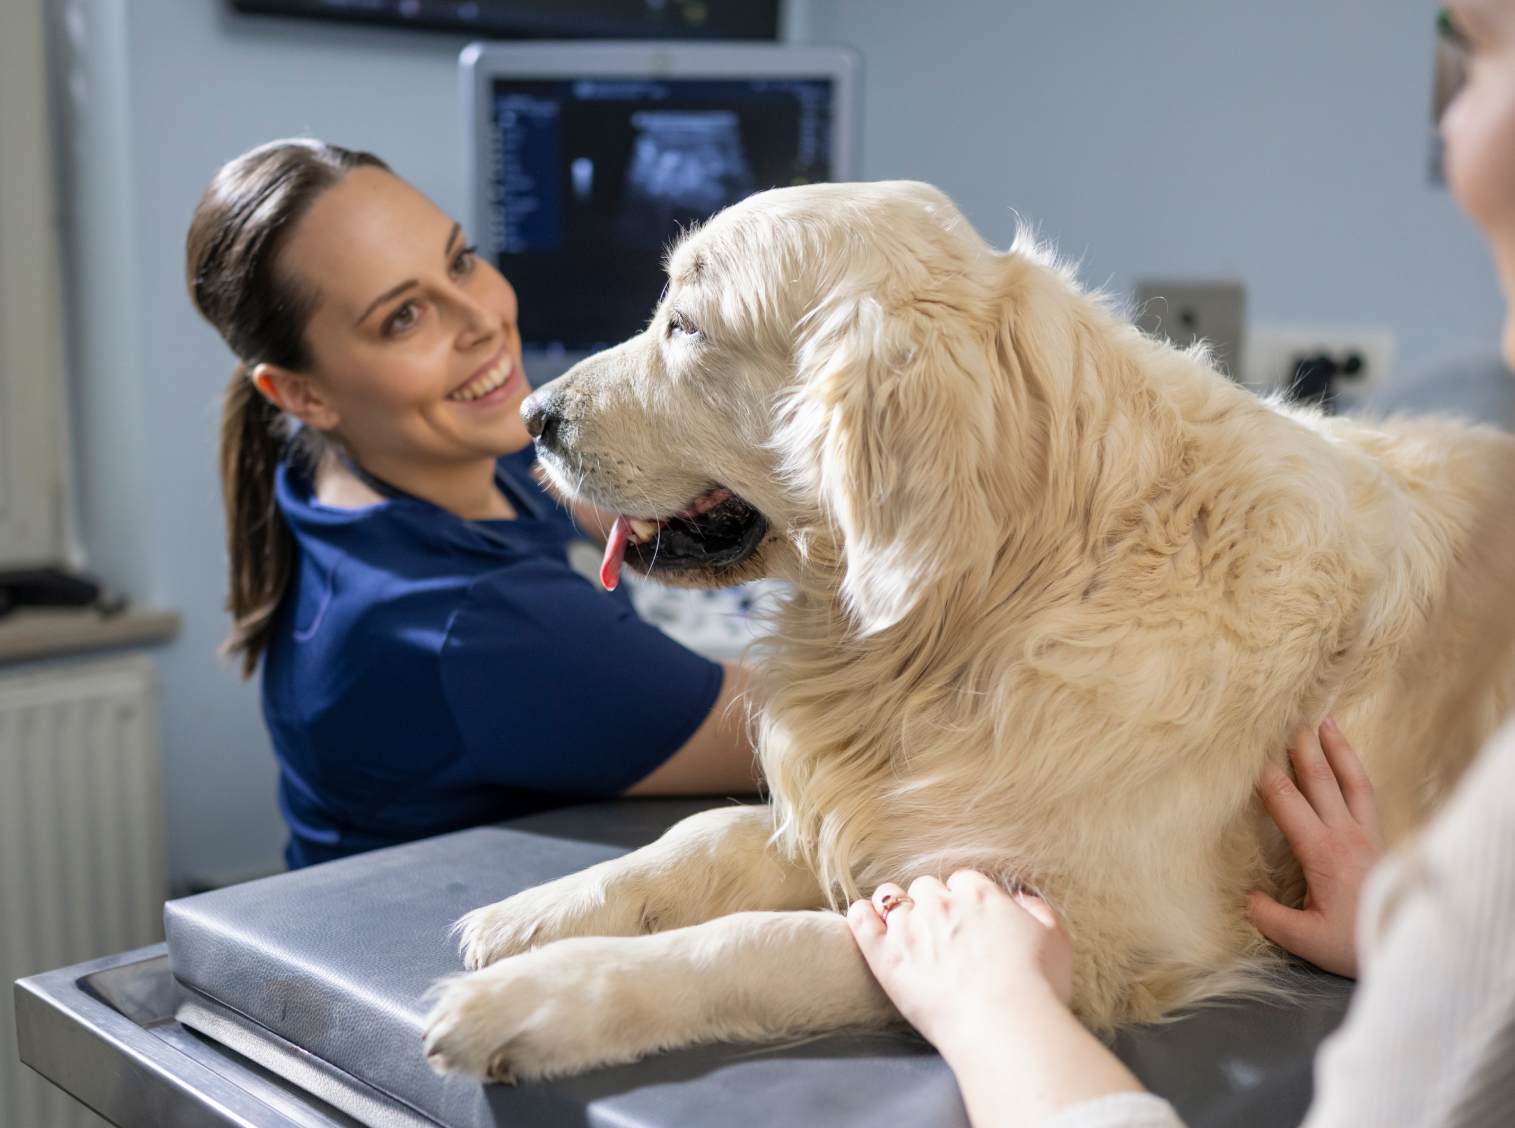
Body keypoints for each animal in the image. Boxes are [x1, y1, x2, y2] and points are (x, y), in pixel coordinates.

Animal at [421, 180, 1515, 1078]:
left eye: (684, 328)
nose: (531, 413)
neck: (1003, 599)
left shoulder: (1084, 934)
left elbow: (761, 941)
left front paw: (537, 999)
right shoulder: (878, 806)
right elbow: (705, 834)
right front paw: (542, 912)